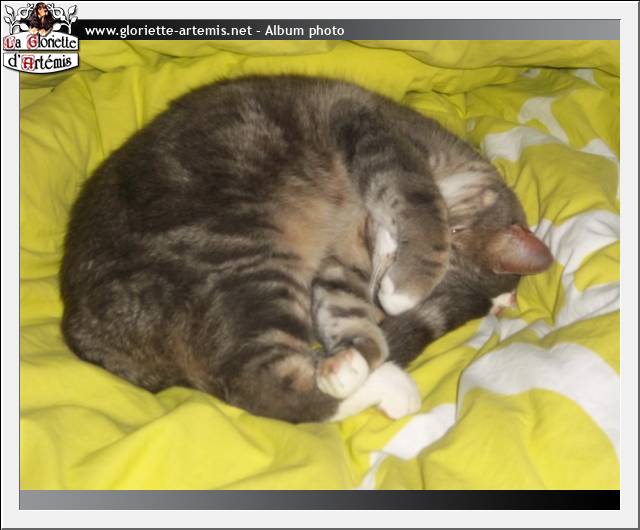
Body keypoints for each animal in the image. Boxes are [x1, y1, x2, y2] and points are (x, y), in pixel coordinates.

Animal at [59, 75, 552, 423]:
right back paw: (391, 387)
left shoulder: (343, 264)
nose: (384, 295)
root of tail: (85, 329)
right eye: (445, 275)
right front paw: (406, 289)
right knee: (264, 388)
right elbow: (418, 201)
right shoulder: (376, 134)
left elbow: (344, 310)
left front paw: (354, 355)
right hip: (242, 255)